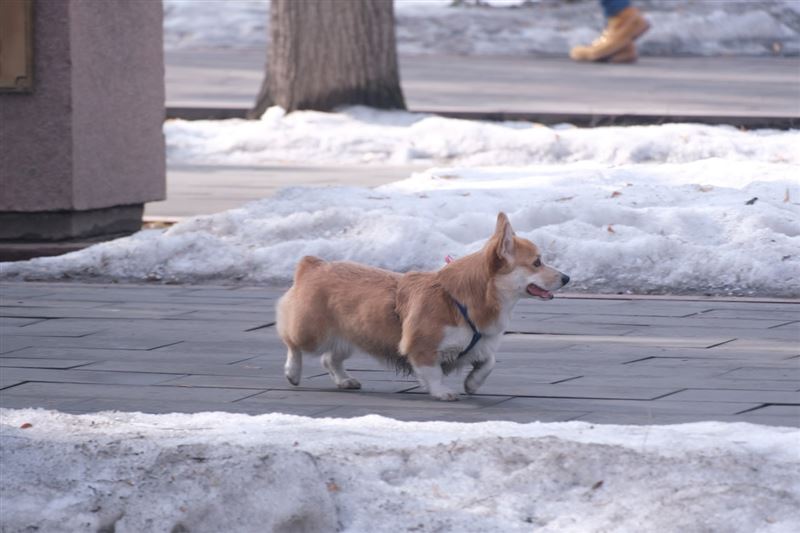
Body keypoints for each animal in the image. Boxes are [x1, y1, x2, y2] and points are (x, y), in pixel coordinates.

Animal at [276, 212, 568, 400]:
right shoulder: (421, 347)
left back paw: (345, 380)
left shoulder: (479, 346)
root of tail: (313, 266)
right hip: (312, 333)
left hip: (353, 335)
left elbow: (488, 363)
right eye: (537, 262)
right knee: (293, 345)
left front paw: (472, 384)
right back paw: (292, 373)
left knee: (330, 358)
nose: (566, 278)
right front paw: (442, 393)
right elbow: (434, 373)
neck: (460, 300)